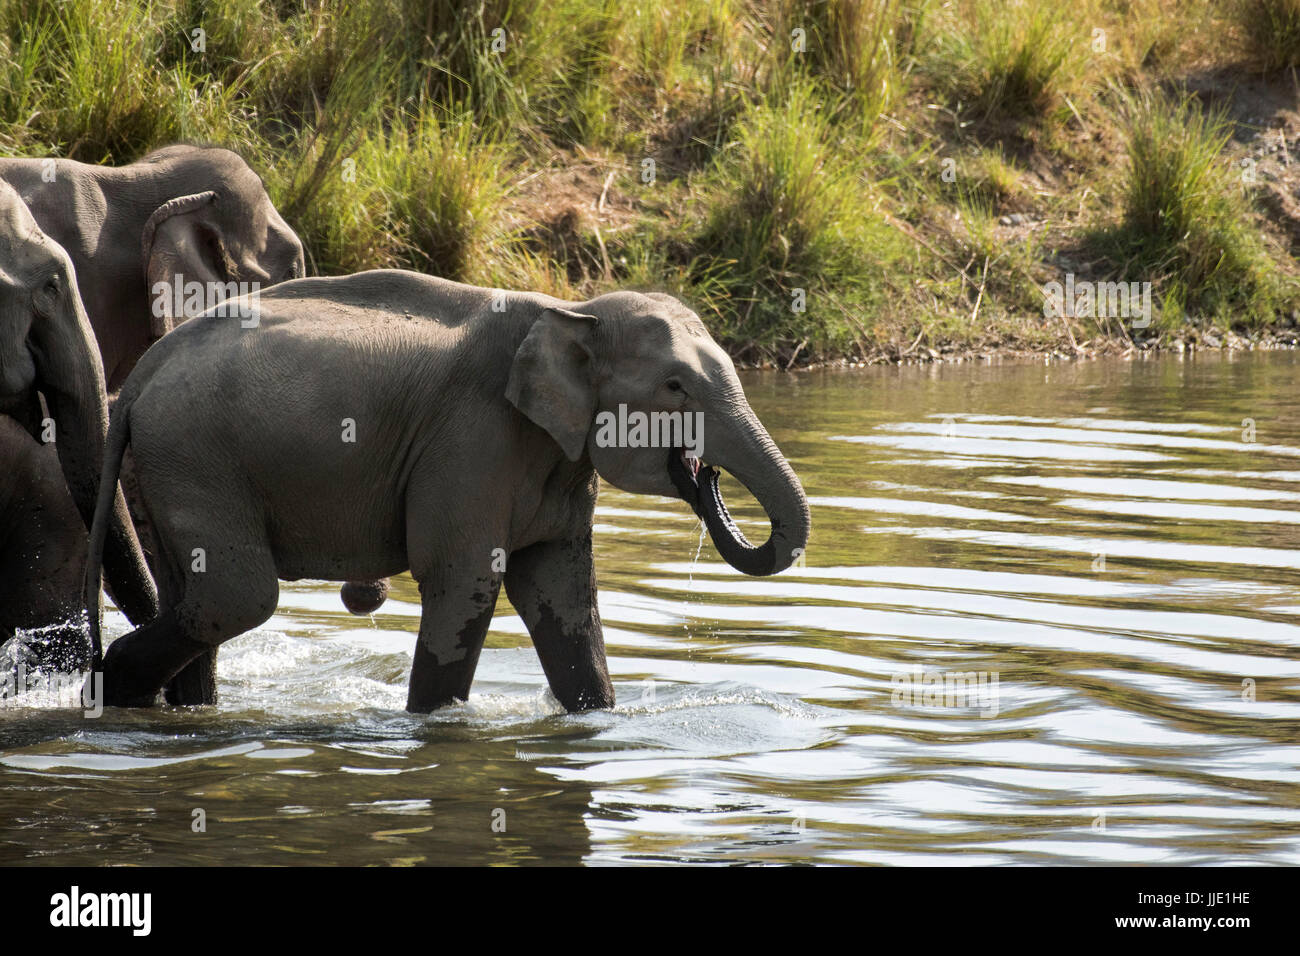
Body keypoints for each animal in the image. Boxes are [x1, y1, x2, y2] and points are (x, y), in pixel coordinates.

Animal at [81, 273, 806, 712]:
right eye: (676, 387)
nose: (706, 473)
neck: (573, 309)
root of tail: (141, 375)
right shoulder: (473, 442)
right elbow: (466, 580)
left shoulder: (554, 458)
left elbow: (562, 591)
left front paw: (597, 718)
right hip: (195, 455)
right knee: (238, 596)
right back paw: (121, 691)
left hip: (163, 465)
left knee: (197, 597)